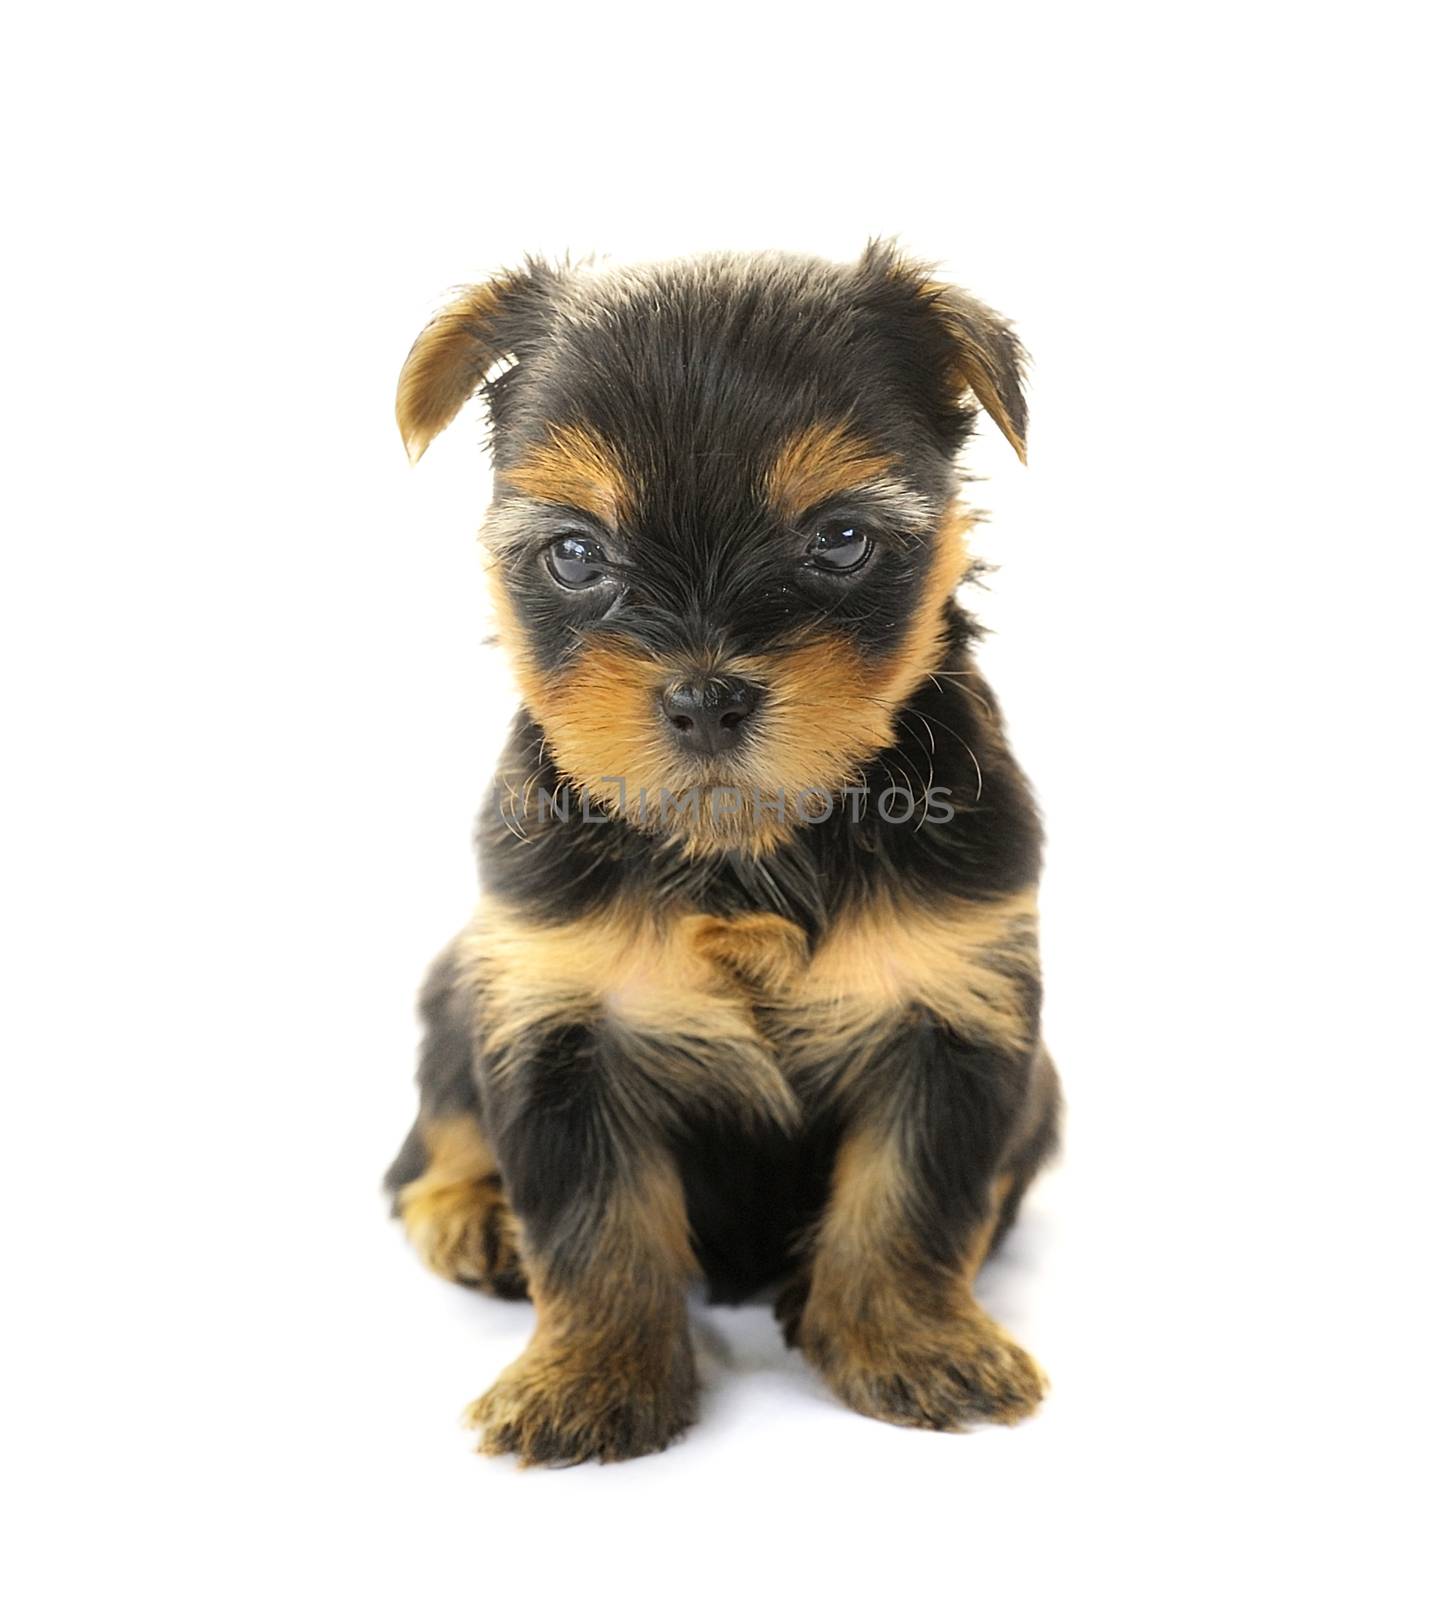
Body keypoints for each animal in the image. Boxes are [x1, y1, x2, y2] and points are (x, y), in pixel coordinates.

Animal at [382, 240, 1056, 1465]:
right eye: (575, 554)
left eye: (840, 539)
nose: (704, 696)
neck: (743, 839)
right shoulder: (556, 1009)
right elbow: (593, 1222)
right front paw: (588, 1378)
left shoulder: (957, 1001)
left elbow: (916, 1196)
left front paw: (911, 1343)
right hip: (462, 985)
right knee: (431, 1137)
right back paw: (470, 1217)